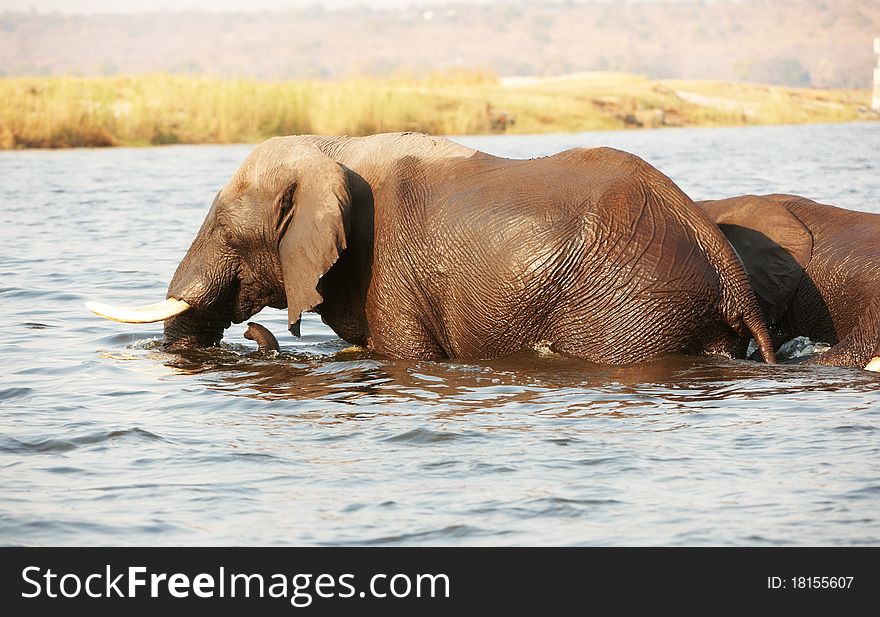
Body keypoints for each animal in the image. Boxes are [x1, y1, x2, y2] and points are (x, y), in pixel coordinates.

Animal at [91, 132, 776, 364]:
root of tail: (717, 249)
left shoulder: (388, 272)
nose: (257, 334)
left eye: (229, 237)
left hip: (634, 307)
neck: (331, 148)